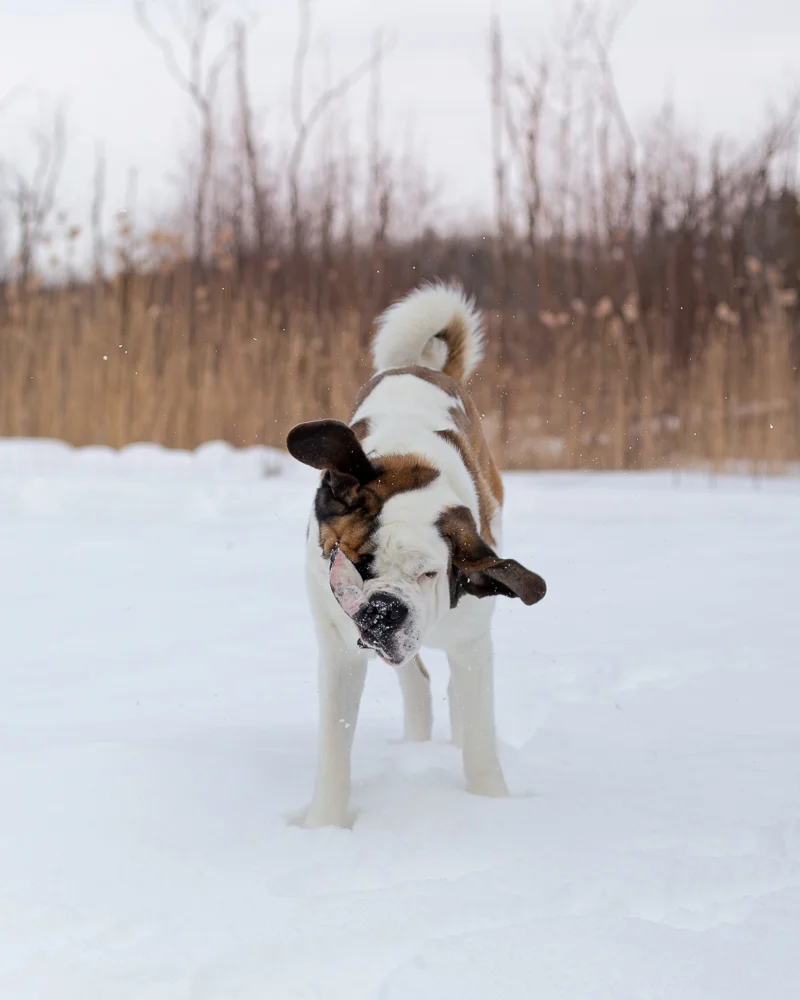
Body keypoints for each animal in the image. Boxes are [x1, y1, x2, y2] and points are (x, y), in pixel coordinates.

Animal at [287, 282, 547, 828]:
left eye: (429, 574)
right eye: (357, 564)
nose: (384, 608)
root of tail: (422, 366)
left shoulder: (473, 639)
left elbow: (481, 741)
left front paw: (494, 808)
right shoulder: (339, 651)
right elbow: (335, 746)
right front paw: (324, 826)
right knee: (419, 681)